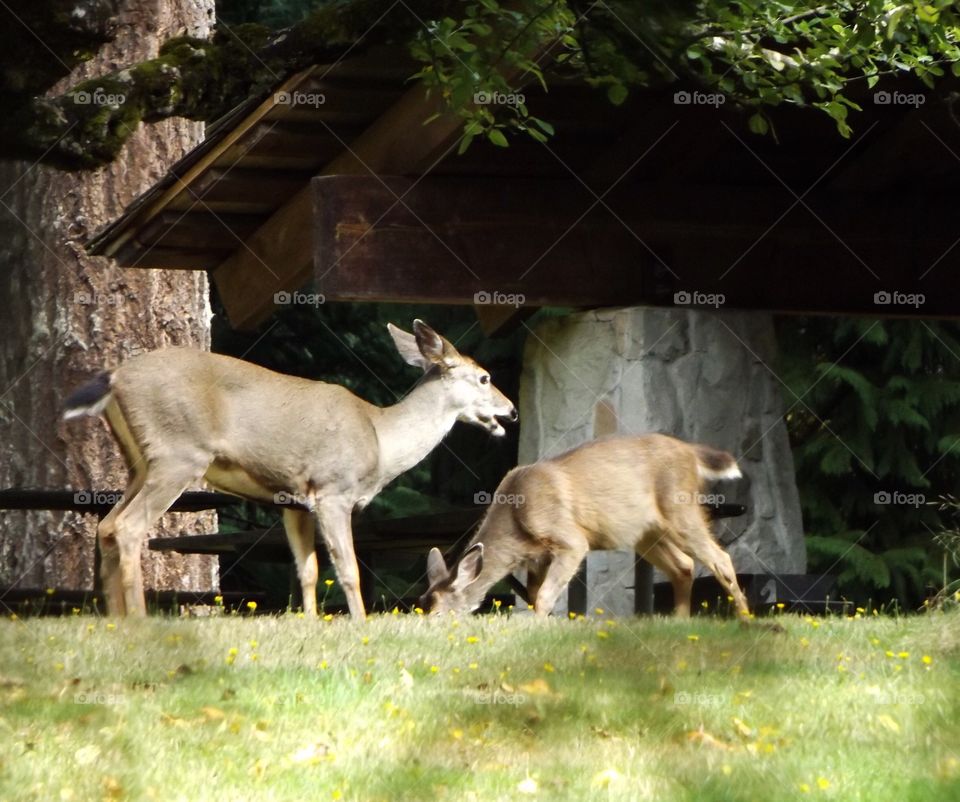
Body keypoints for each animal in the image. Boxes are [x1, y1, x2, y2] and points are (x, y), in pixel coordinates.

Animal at [63, 320, 517, 619]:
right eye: (484, 377)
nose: (510, 410)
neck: (381, 438)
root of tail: (116, 376)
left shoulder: (294, 501)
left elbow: (309, 570)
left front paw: (312, 624)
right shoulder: (334, 489)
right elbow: (348, 569)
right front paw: (359, 624)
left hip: (139, 462)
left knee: (107, 525)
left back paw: (116, 619)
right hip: (179, 453)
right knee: (128, 527)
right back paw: (139, 619)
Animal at [421, 433, 750, 618]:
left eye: (436, 613)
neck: (516, 516)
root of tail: (691, 453)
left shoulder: (571, 540)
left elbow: (544, 597)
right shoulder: (537, 559)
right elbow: (536, 597)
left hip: (680, 508)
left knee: (720, 558)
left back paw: (745, 619)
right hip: (645, 532)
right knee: (683, 565)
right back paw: (680, 621)